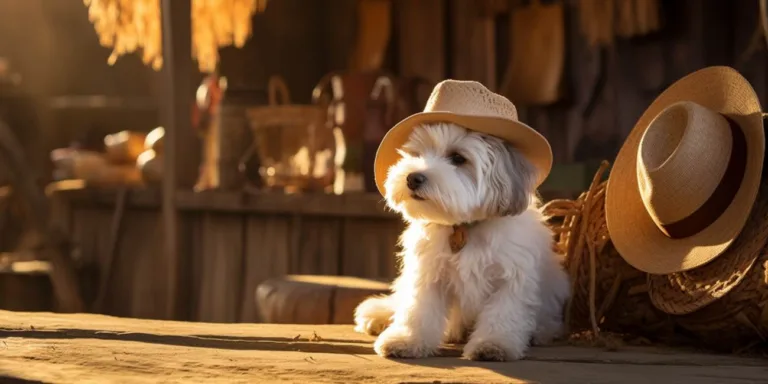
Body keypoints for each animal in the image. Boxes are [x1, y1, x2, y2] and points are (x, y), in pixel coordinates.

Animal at [354, 122, 568, 360]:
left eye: (458, 158)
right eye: (417, 154)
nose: (413, 178)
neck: (465, 226)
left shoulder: (511, 280)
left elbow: (502, 315)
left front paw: (493, 344)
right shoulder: (429, 274)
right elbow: (418, 309)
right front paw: (407, 340)